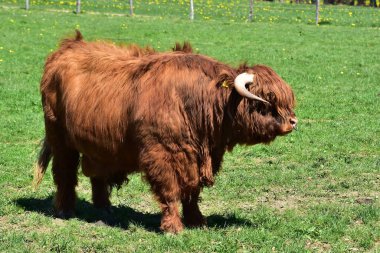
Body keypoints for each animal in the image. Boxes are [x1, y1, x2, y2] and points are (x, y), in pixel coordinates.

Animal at [34, 31, 296, 233]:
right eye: (264, 102)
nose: (293, 122)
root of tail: (69, 45)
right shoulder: (162, 155)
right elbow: (170, 192)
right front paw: (173, 227)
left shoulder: (195, 158)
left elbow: (192, 193)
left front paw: (197, 221)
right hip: (59, 138)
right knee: (65, 174)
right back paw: (64, 210)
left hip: (98, 144)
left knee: (96, 174)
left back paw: (104, 209)